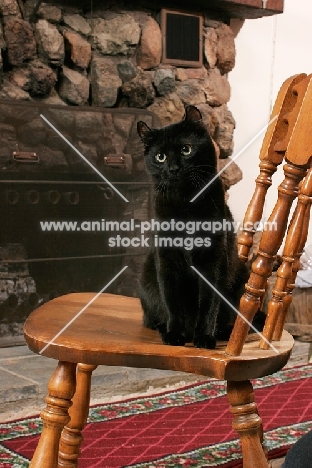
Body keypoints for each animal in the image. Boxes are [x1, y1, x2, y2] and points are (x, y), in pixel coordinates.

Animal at [138, 105, 250, 348]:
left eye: (186, 150)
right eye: (160, 156)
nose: (173, 168)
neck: (185, 203)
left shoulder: (213, 258)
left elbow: (209, 302)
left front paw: (204, 337)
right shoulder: (166, 258)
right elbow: (171, 298)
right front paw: (174, 334)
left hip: (243, 275)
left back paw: (222, 332)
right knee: (151, 317)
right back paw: (163, 328)